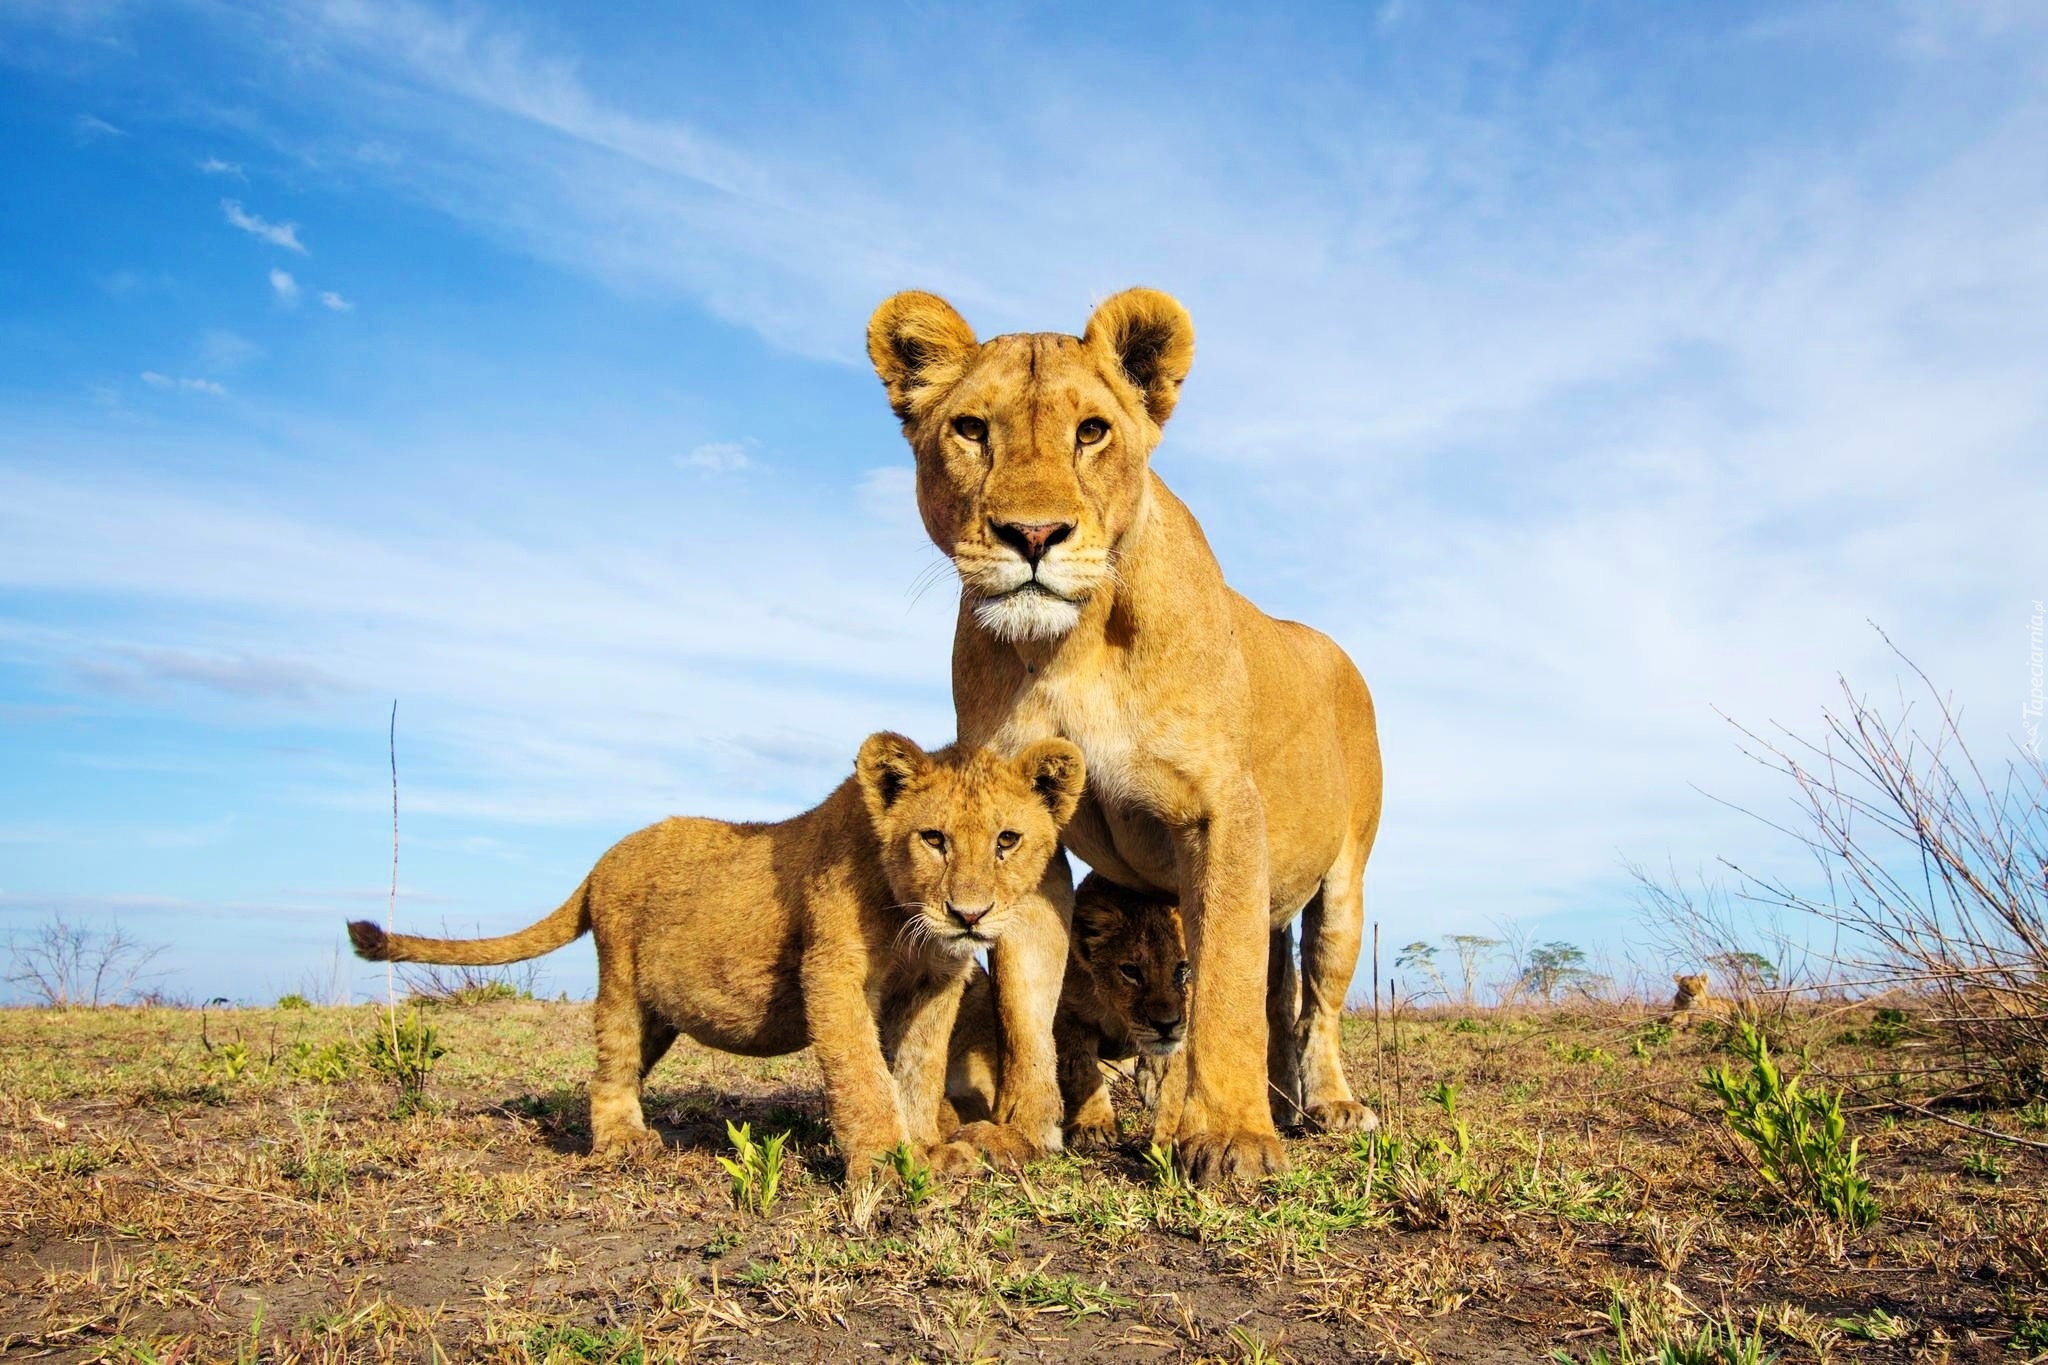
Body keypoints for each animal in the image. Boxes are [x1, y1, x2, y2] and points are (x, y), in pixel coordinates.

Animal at [352, 732, 1089, 1178]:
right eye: (933, 838)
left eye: (1007, 840)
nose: (970, 914)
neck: (909, 916)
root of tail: (600, 861)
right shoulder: (833, 971)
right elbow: (861, 1072)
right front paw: (883, 1161)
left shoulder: (938, 982)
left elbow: (917, 1070)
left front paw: (928, 1150)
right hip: (621, 980)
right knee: (610, 1065)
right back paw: (623, 1142)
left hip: (660, 1011)